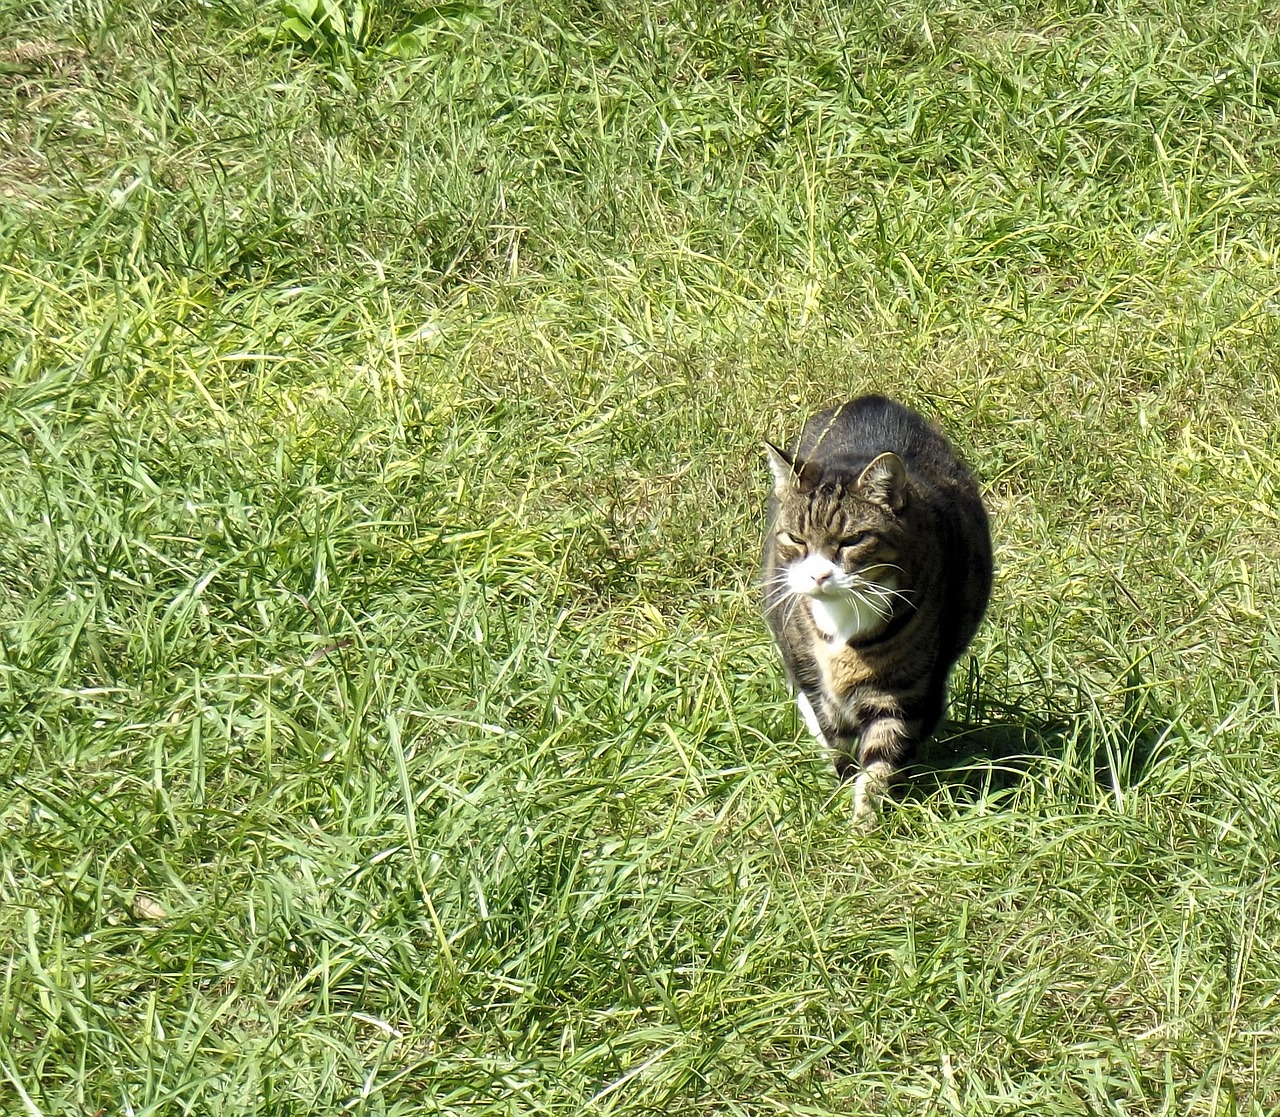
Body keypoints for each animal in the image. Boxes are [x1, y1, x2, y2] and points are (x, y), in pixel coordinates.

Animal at [757, 396, 988, 823]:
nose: (818, 575)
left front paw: (865, 821)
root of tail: (870, 400)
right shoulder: (818, 684)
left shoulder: (900, 688)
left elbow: (882, 755)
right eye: (796, 539)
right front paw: (845, 785)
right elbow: (837, 740)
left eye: (853, 540)